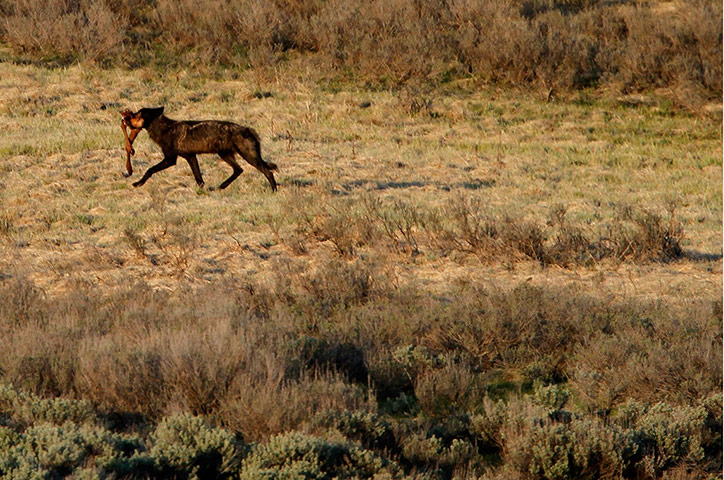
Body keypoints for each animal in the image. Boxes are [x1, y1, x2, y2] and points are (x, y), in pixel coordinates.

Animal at [120, 107, 278, 191]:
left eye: (136, 115)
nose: (124, 118)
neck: (164, 129)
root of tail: (247, 129)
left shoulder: (170, 159)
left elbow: (149, 170)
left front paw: (138, 183)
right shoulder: (191, 157)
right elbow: (199, 179)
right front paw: (202, 191)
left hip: (249, 156)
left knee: (268, 172)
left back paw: (274, 191)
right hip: (225, 155)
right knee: (239, 170)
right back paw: (221, 186)